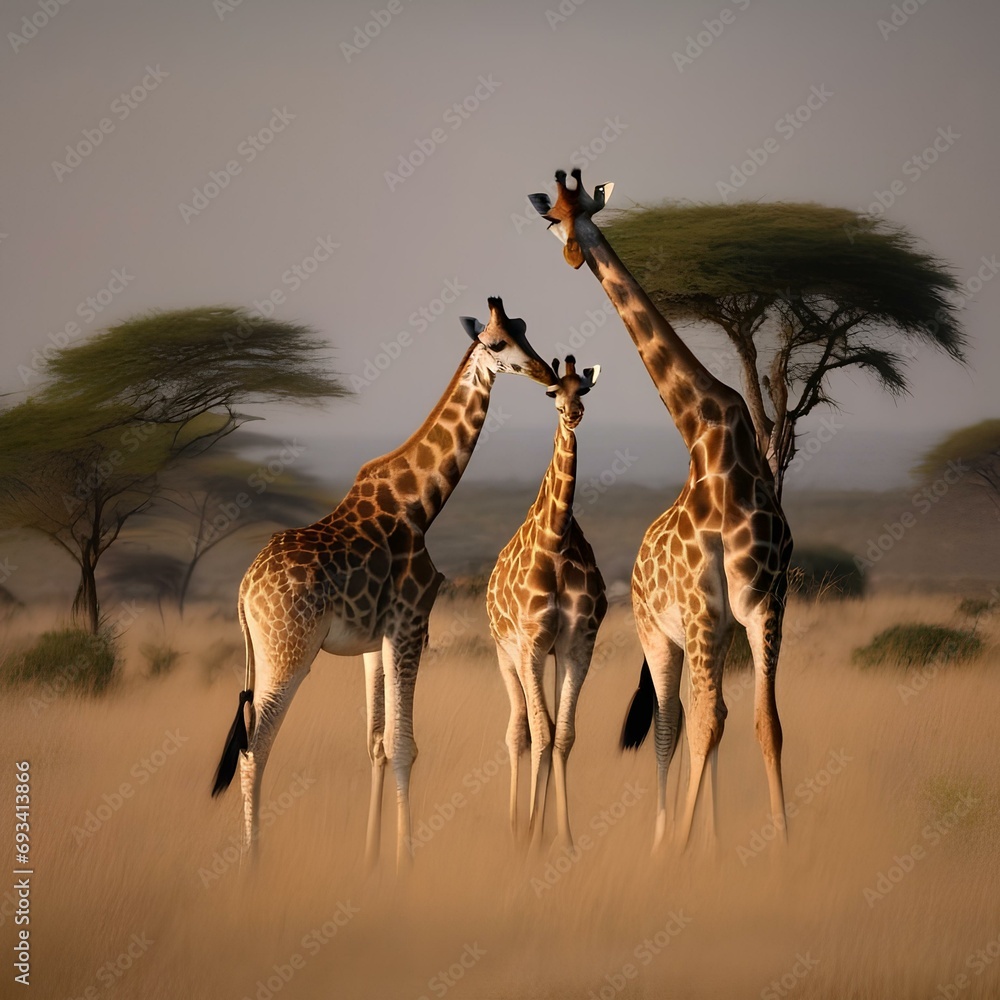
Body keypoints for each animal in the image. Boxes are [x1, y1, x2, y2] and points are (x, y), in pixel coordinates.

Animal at [210, 297, 557, 871]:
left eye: (525, 329)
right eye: (495, 343)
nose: (546, 372)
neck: (420, 502)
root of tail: (242, 591)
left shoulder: (374, 641)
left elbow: (375, 742)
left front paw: (372, 858)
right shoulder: (410, 624)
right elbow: (403, 745)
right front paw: (405, 862)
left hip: (265, 653)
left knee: (249, 740)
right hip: (289, 652)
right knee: (254, 746)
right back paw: (253, 864)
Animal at [529, 168, 793, 850]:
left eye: (584, 212)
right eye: (551, 219)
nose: (575, 254)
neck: (711, 435)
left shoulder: (763, 606)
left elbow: (766, 723)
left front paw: (783, 847)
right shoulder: (703, 612)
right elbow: (700, 727)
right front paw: (676, 851)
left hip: (711, 633)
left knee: (707, 715)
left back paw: (710, 842)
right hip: (660, 634)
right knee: (676, 724)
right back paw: (666, 843)